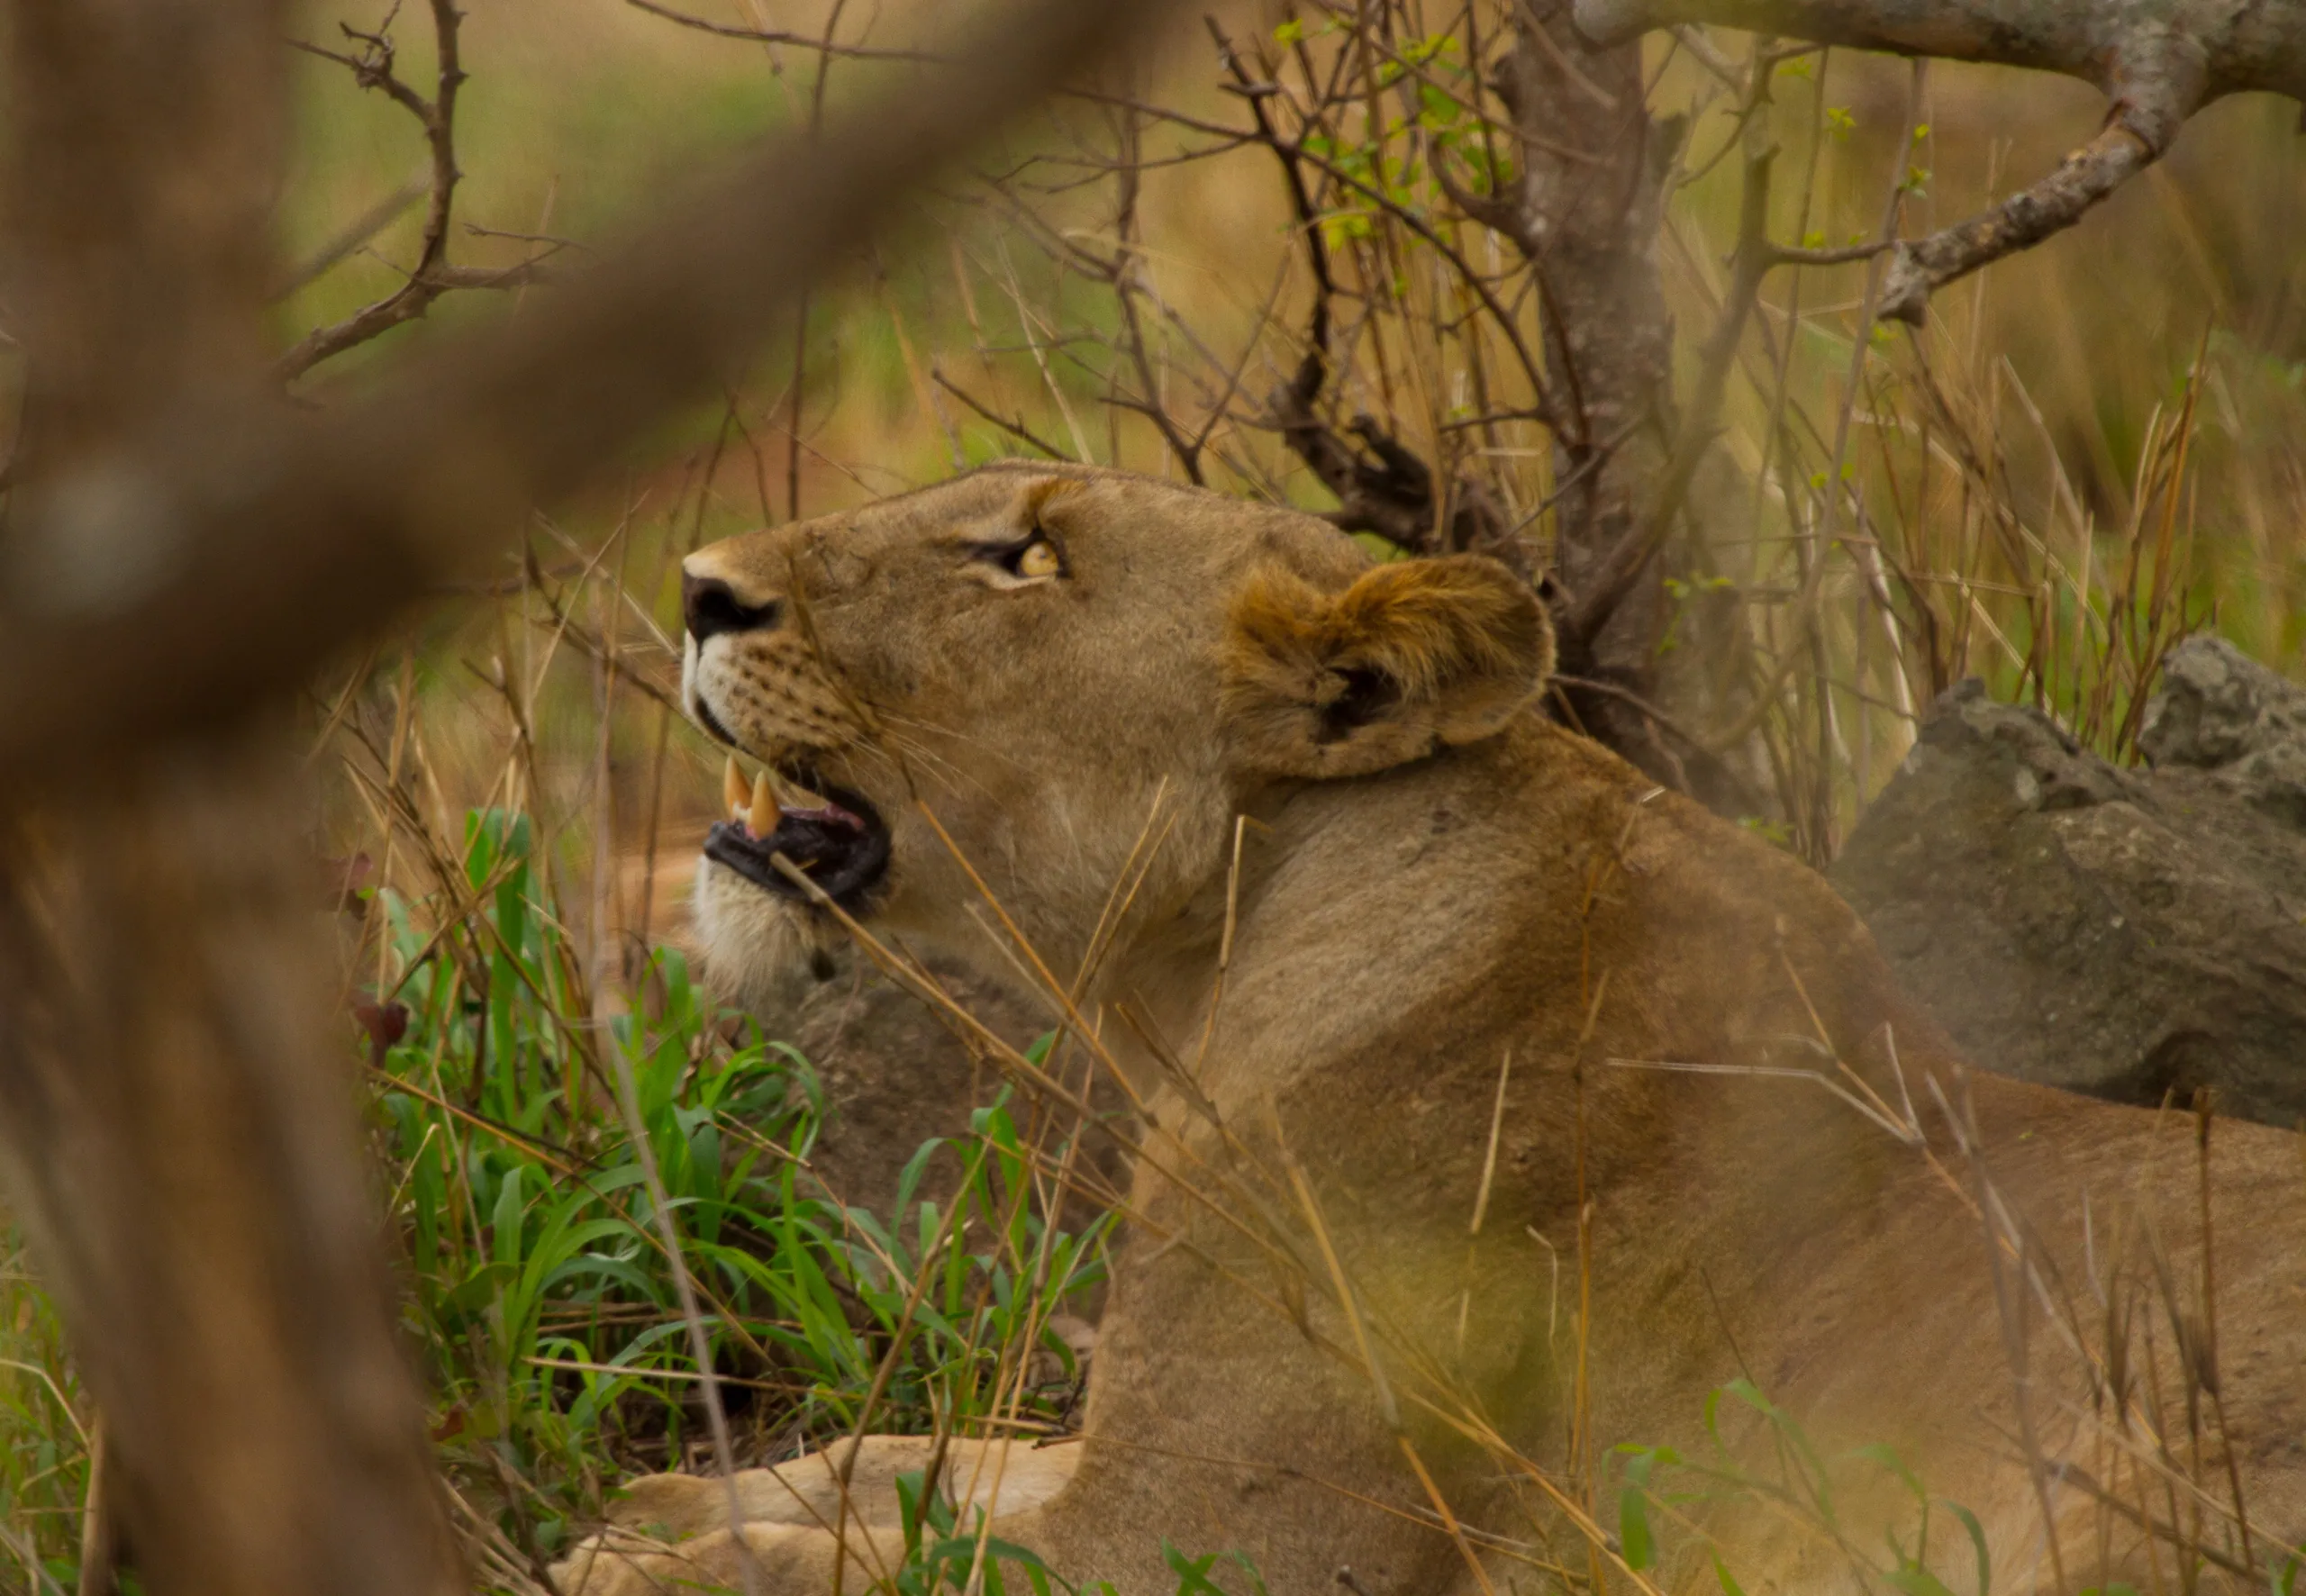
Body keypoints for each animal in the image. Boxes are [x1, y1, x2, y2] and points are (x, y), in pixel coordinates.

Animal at [555, 463, 2306, 1596]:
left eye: (1026, 558)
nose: (699, 588)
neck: (1201, 977)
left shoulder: (1220, 1547)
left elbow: (881, 1556)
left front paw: (634, 1561)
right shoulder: (1119, 1465)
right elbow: (918, 1459)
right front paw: (670, 1495)